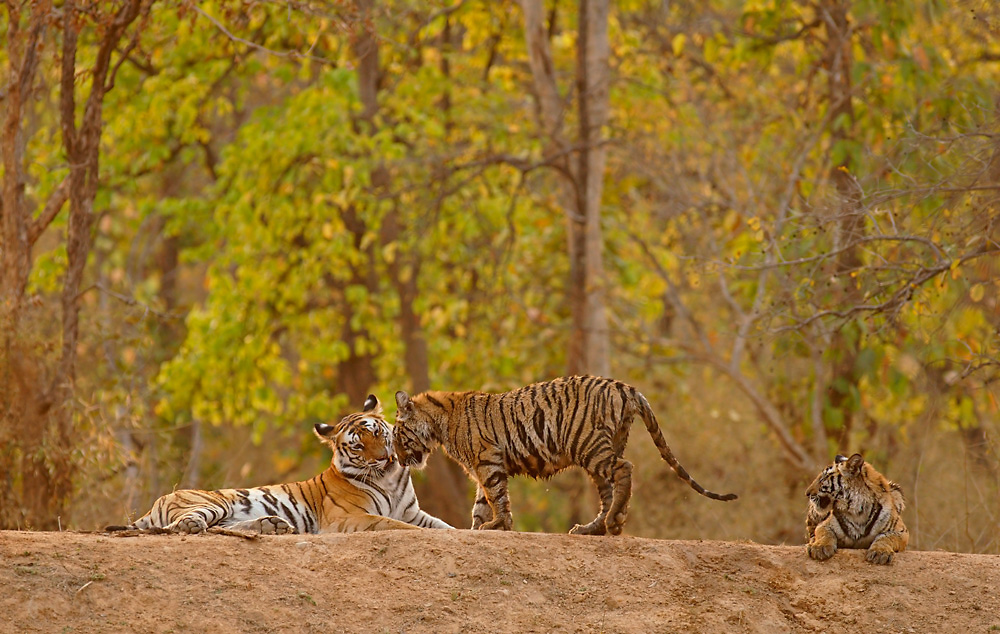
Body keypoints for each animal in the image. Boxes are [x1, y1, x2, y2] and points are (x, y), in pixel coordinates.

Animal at [107, 396, 452, 532]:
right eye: (357, 445)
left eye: (379, 432)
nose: (383, 458)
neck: (388, 478)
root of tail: (159, 500)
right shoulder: (349, 517)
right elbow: (392, 524)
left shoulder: (414, 512)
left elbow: (444, 526)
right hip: (211, 503)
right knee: (184, 526)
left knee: (218, 528)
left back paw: (271, 526)